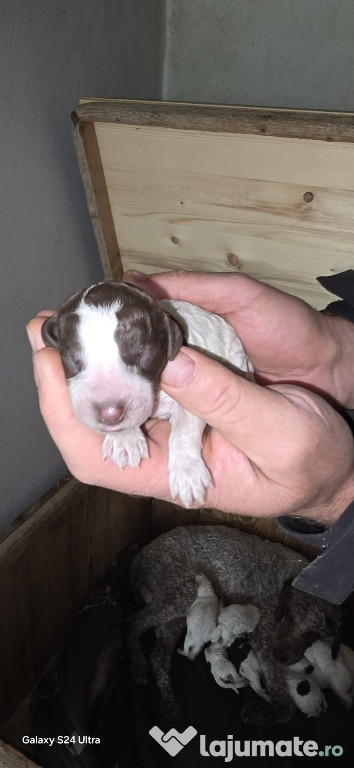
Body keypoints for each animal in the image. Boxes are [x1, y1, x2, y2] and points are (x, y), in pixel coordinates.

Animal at [40, 280, 252, 508]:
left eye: (144, 354)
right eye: (72, 360)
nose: (110, 413)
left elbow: (185, 424)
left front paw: (187, 473)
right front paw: (124, 440)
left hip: (238, 356)